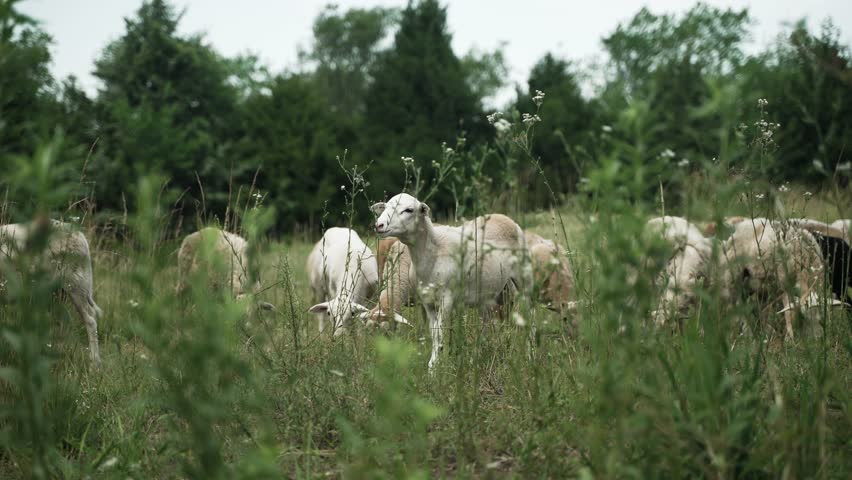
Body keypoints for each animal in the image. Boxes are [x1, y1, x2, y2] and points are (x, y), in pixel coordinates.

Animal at [0, 218, 103, 364]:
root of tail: (79, 234)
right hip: (54, 294)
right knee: (64, 321)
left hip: (76, 287)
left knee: (90, 320)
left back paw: (94, 363)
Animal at [372, 193, 524, 370]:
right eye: (386, 207)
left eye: (409, 210)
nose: (379, 225)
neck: (432, 251)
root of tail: (503, 217)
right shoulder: (427, 301)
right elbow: (433, 331)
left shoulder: (447, 299)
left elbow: (439, 331)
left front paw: (435, 365)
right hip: (492, 291)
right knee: (491, 319)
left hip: (523, 275)